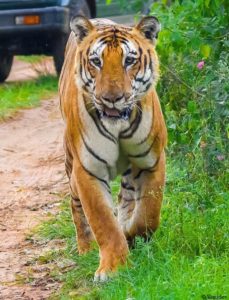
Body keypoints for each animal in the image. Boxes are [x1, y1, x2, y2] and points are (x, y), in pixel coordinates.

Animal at [58, 14, 166, 282]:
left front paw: (132, 236)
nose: (112, 98)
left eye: (129, 61)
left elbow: (148, 214)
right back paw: (85, 248)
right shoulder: (88, 170)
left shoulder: (152, 161)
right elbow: (103, 222)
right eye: (96, 61)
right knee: (76, 206)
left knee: (126, 196)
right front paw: (114, 268)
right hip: (70, 165)